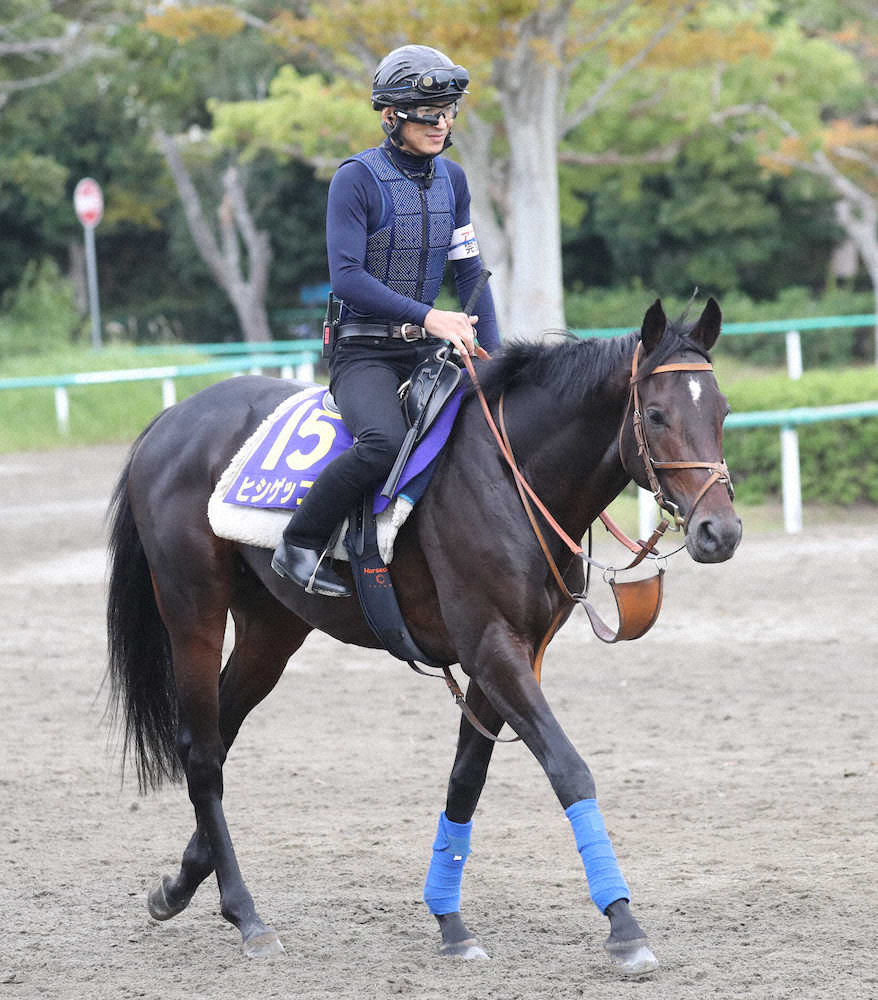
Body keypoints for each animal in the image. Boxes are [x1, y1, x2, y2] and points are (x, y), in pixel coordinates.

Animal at [105, 297, 741, 976]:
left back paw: (180, 885)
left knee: (216, 739)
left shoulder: (508, 655)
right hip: (193, 612)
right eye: (657, 414)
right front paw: (623, 923)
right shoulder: (492, 647)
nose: (720, 531)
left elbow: (465, 781)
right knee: (200, 749)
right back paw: (247, 915)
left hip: (270, 634)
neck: (511, 475)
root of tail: (172, 419)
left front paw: (449, 920)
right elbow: (569, 769)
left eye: (722, 411)